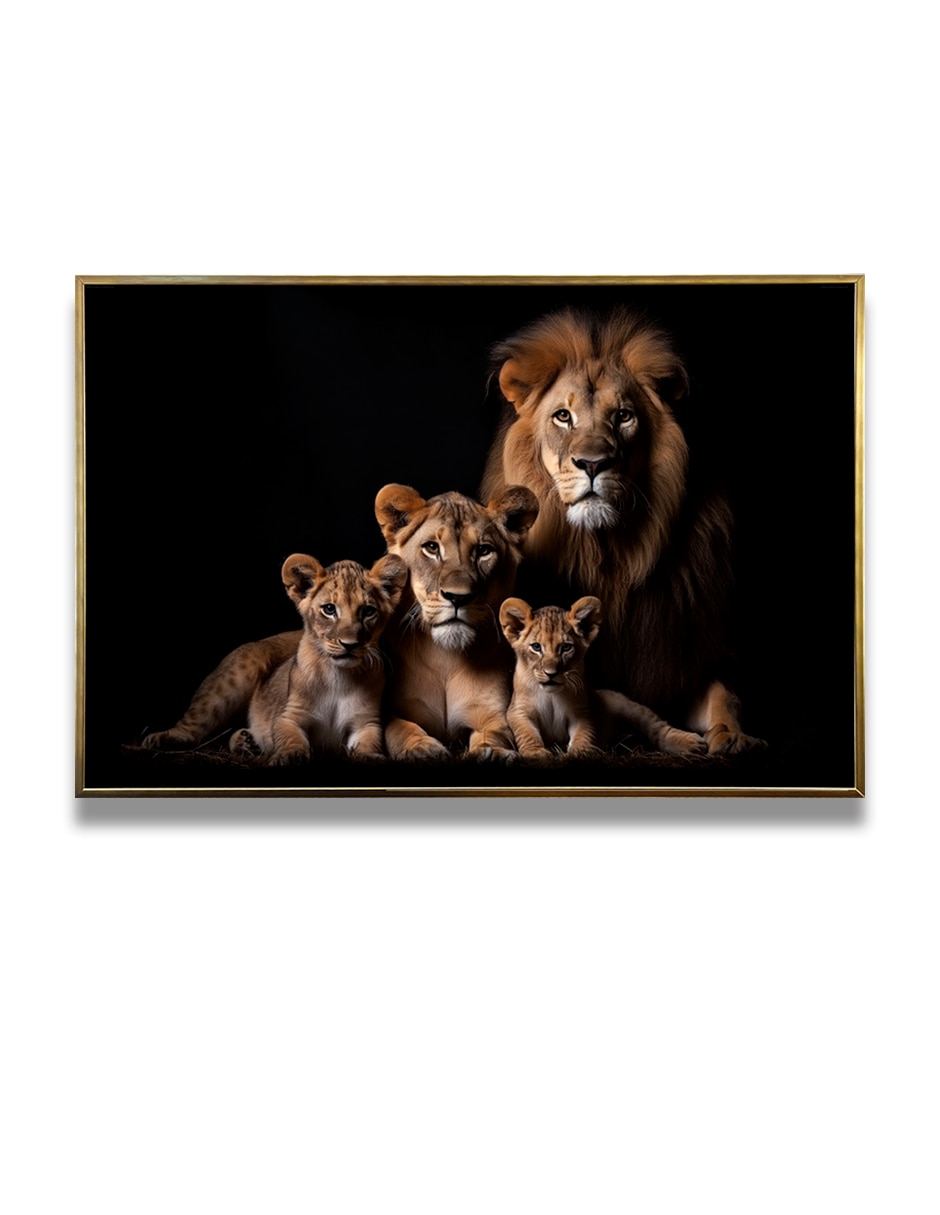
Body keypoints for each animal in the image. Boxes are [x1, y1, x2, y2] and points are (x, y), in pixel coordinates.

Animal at [142, 553, 407, 763]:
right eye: (329, 609)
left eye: (368, 611)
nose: (350, 645)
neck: (339, 676)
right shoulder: (289, 716)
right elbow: (289, 736)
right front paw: (290, 756)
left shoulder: (366, 722)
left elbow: (369, 741)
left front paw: (370, 756)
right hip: (238, 672)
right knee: (193, 724)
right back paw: (161, 738)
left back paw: (246, 743)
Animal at [374, 483, 539, 760]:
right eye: (431, 548)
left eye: (483, 551)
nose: (457, 597)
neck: (446, 660)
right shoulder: (390, 710)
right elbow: (399, 729)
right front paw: (421, 749)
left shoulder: (493, 714)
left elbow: (494, 734)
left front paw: (491, 753)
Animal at [500, 596, 708, 760]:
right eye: (536, 647)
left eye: (566, 648)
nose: (551, 673)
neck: (551, 695)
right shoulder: (518, 711)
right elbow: (526, 732)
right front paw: (535, 752)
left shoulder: (583, 710)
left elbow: (584, 732)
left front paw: (581, 752)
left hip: (630, 707)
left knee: (658, 727)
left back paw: (692, 743)